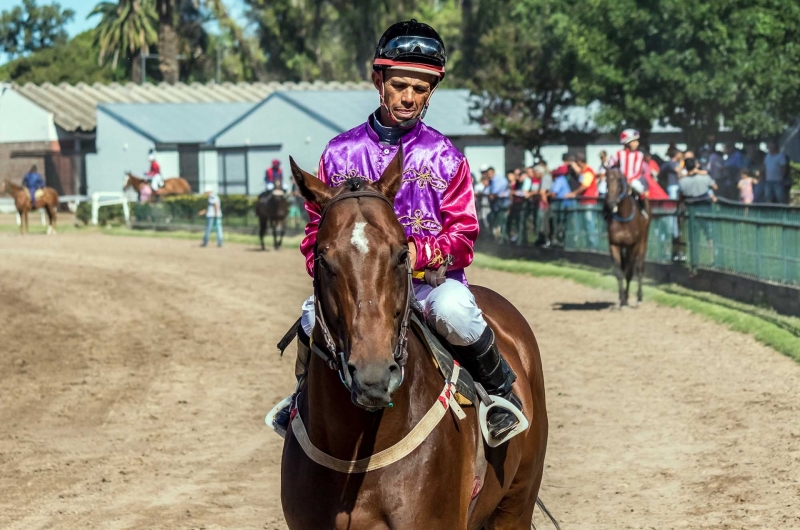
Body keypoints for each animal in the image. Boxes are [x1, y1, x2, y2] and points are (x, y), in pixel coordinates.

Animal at [608, 169, 648, 308]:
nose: (611, 203)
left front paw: (626, 299)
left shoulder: (634, 245)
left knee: (640, 267)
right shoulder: (614, 244)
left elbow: (629, 272)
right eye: (606, 180)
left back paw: (640, 297)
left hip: (643, 241)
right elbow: (619, 272)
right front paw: (621, 299)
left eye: (620, 180)